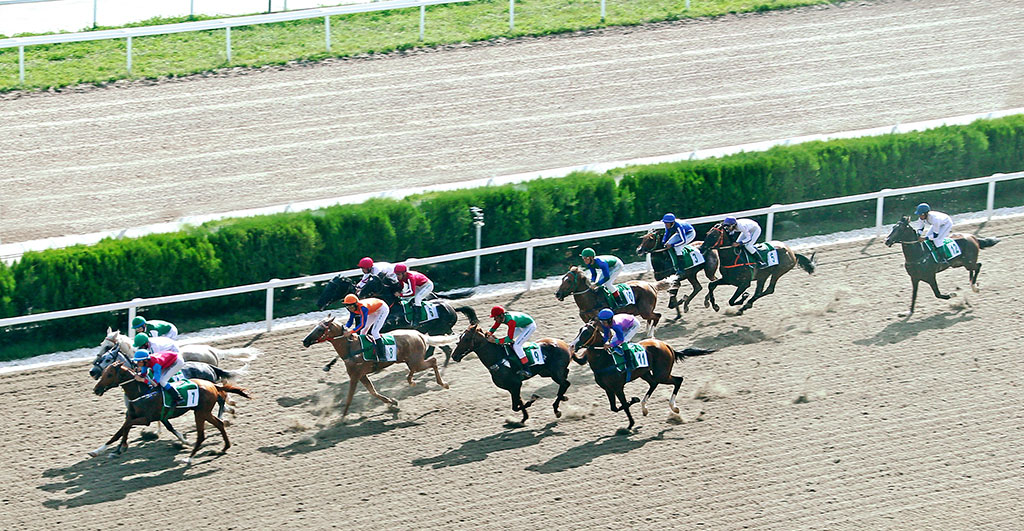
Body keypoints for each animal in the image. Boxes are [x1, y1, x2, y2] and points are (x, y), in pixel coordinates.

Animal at [92, 362, 251, 466]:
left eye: (109, 374)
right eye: (103, 373)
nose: (96, 389)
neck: (142, 392)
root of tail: (213, 385)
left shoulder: (146, 419)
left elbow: (126, 427)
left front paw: (123, 446)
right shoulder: (138, 416)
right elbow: (119, 432)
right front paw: (100, 450)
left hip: (201, 413)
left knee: (205, 432)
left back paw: (189, 458)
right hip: (203, 412)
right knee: (218, 423)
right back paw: (224, 447)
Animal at [299, 313, 452, 417]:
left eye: (320, 329)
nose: (305, 341)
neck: (351, 348)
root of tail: (419, 334)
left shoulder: (355, 376)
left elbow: (349, 398)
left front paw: (340, 419)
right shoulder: (361, 375)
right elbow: (373, 392)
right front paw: (392, 402)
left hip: (416, 360)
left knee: (432, 361)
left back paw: (439, 383)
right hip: (410, 360)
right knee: (420, 366)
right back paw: (414, 381)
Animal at [569, 319, 712, 431]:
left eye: (586, 332)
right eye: (579, 330)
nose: (572, 346)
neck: (605, 360)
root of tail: (667, 345)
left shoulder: (618, 387)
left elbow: (625, 405)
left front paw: (632, 415)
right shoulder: (608, 389)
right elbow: (614, 408)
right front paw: (634, 408)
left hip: (662, 374)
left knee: (678, 380)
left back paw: (673, 407)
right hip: (646, 373)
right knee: (654, 383)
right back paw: (644, 407)